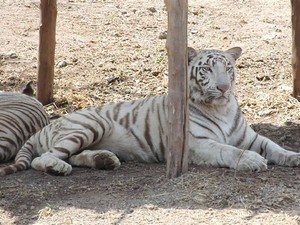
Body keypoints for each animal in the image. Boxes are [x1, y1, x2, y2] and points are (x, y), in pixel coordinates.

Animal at [1, 46, 298, 176]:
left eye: (228, 68)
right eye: (206, 69)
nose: (224, 88)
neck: (221, 108)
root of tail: (46, 125)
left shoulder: (250, 137)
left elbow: (274, 147)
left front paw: (294, 157)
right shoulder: (197, 144)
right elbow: (229, 150)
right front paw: (252, 161)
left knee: (74, 155)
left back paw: (105, 160)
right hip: (88, 126)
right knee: (46, 158)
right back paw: (59, 167)